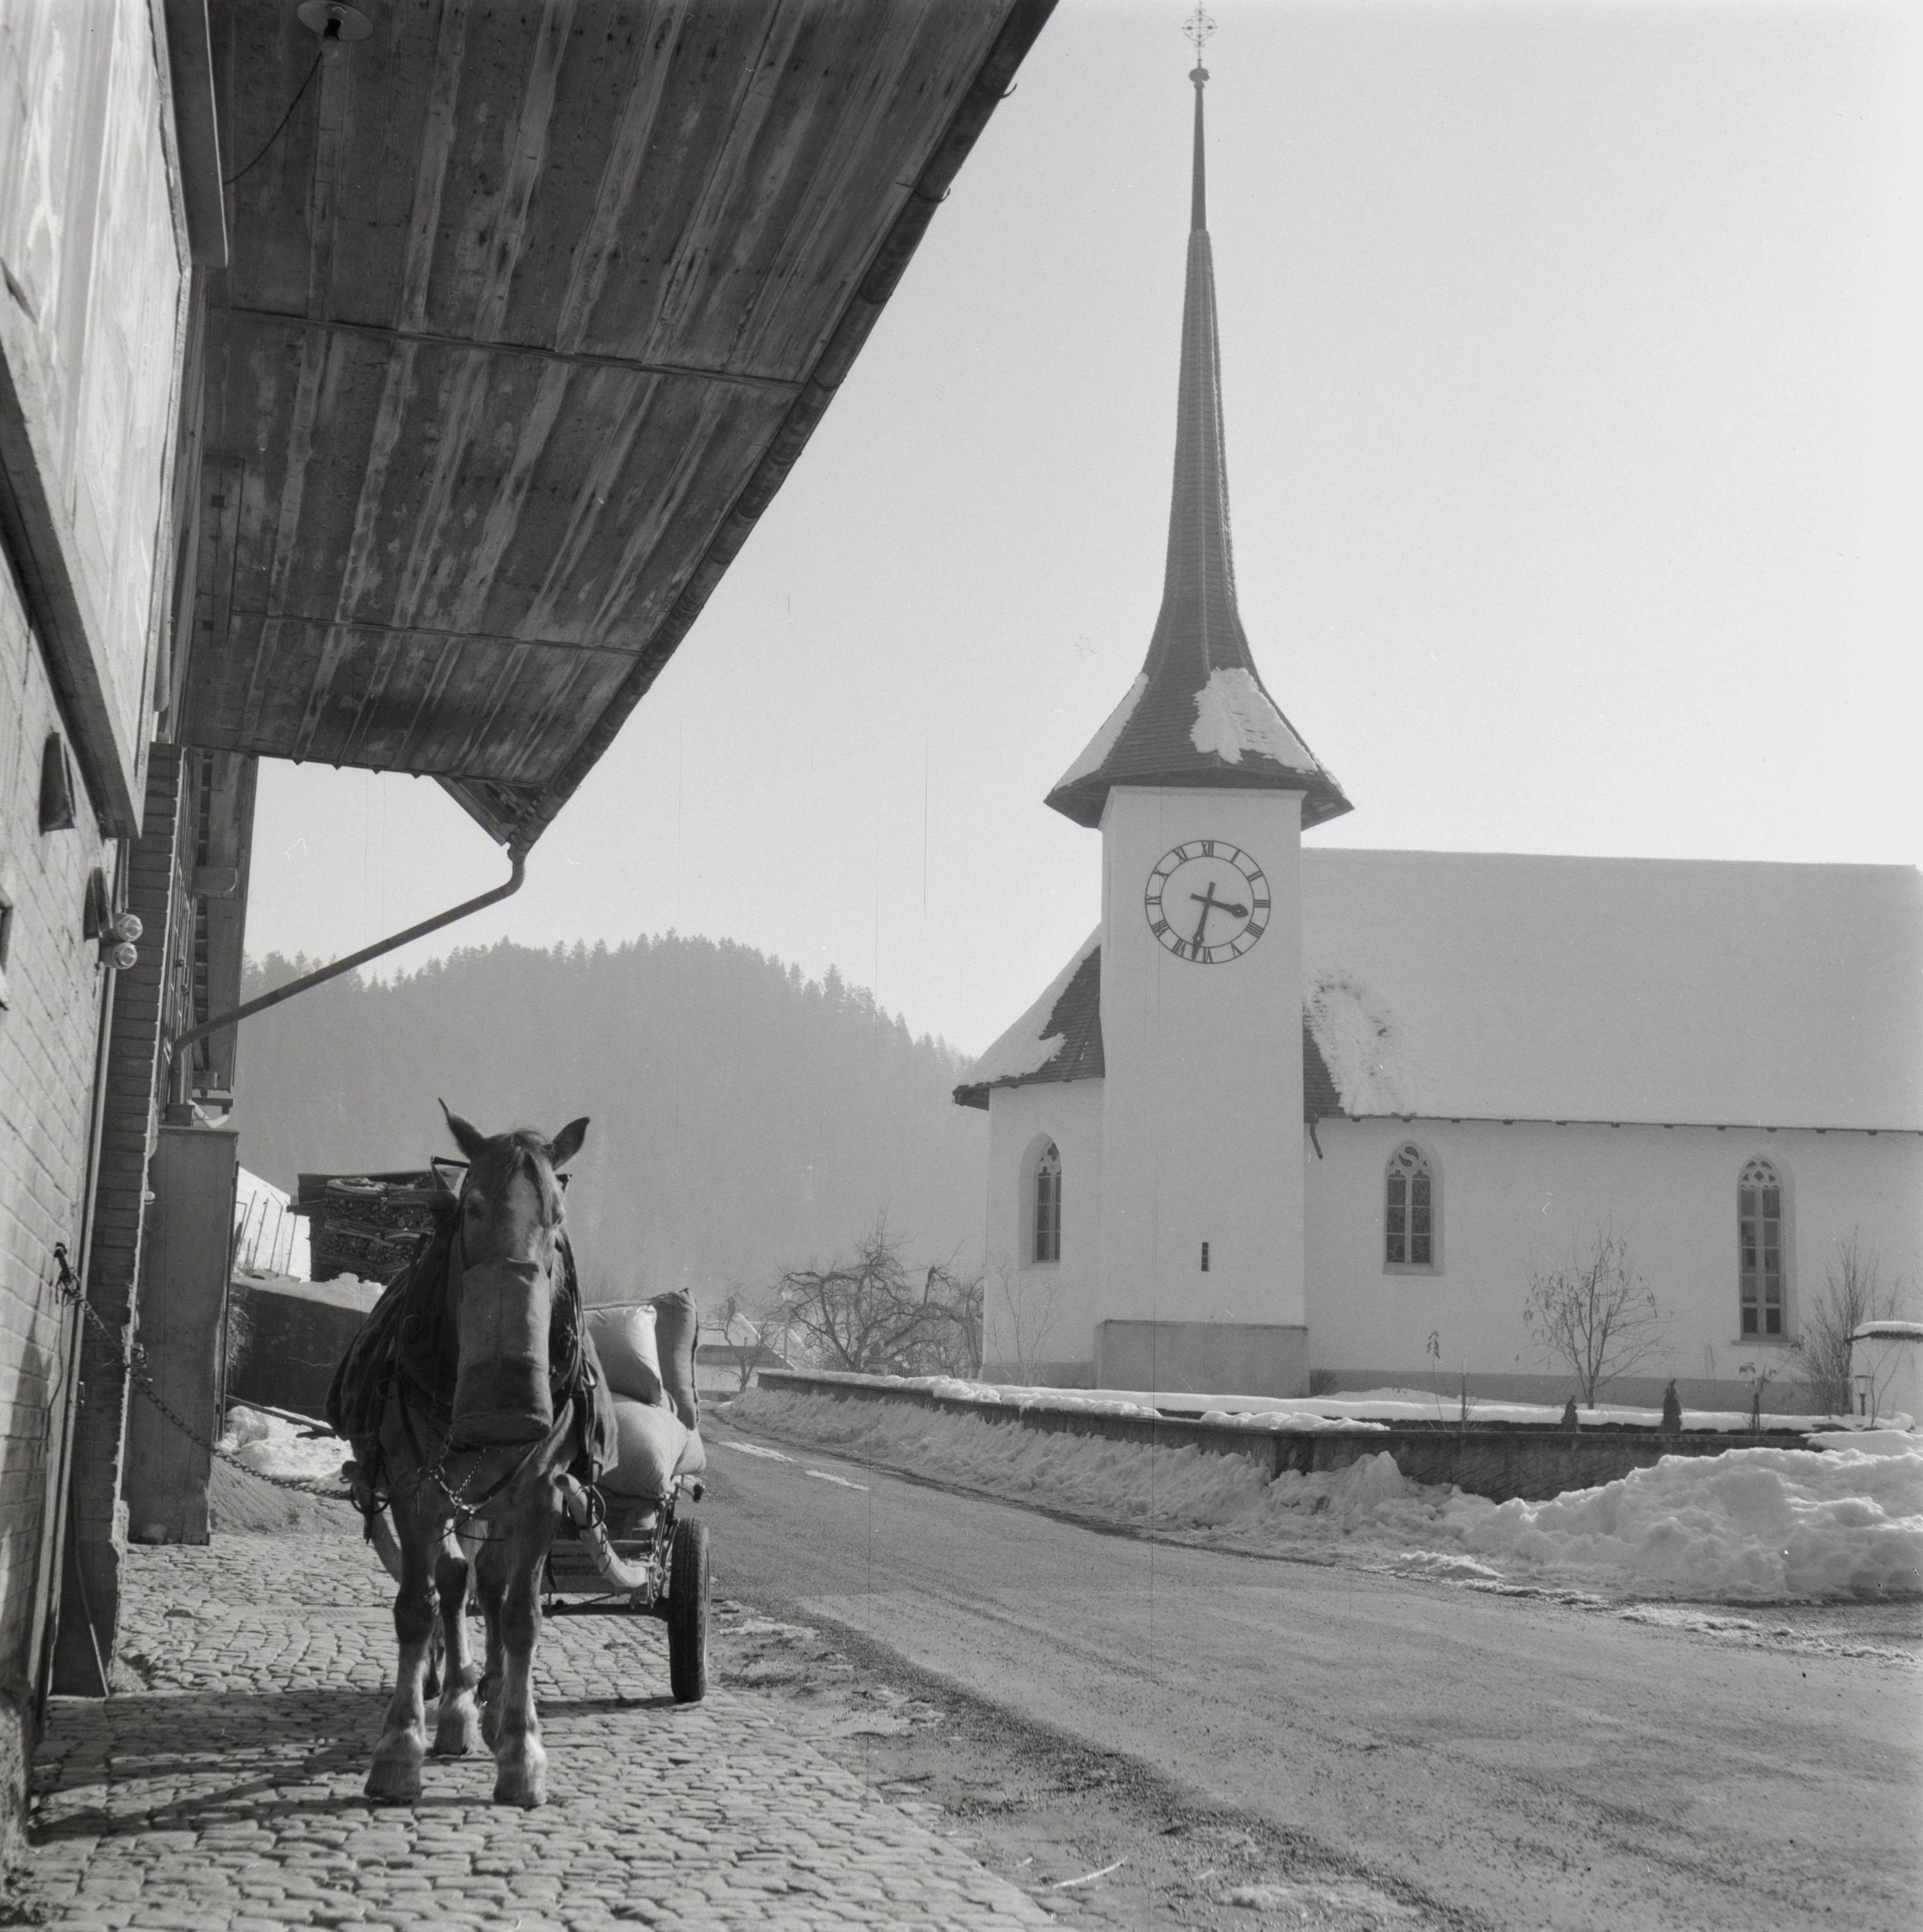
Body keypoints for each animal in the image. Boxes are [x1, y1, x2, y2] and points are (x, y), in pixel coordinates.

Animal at [347, 1104, 602, 1808]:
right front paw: (399, 1748)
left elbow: (520, 1617)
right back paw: (460, 1705)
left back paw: (488, 1704)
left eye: (558, 1215)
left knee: (488, 1586)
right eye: (474, 1206)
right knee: (459, 1582)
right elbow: (418, 1606)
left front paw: (520, 1750)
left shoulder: (541, 1493)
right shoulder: (416, 1487)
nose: (508, 1408)